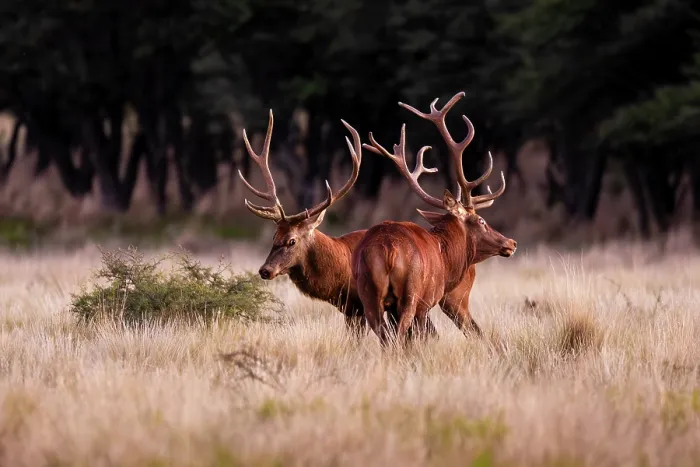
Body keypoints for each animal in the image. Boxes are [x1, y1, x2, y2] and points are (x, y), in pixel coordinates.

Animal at [238, 109, 439, 337]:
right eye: (274, 236)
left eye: (292, 241)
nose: (265, 270)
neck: (339, 275)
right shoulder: (351, 308)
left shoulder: (358, 305)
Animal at [352, 91, 517, 346]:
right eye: (481, 221)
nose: (511, 243)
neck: (445, 255)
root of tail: (387, 249)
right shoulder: (427, 300)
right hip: (411, 294)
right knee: (400, 334)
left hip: (368, 293)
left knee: (384, 335)